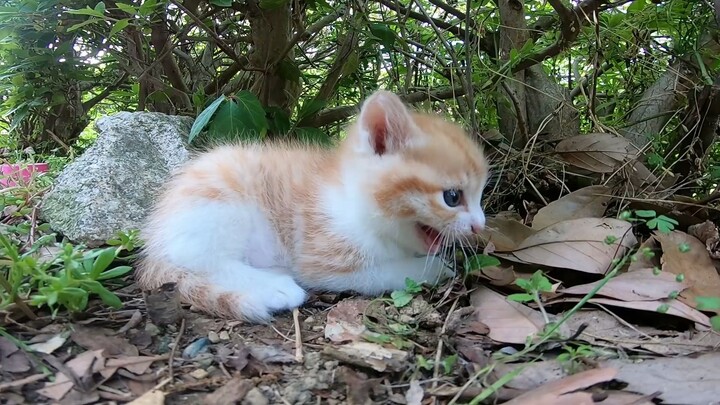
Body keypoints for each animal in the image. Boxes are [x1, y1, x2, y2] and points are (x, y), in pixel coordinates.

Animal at [135, 90, 490, 320]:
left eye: (480, 196)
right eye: (453, 197)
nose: (480, 225)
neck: (353, 203)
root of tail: (155, 239)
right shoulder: (323, 257)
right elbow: (380, 273)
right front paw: (431, 268)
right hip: (218, 204)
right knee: (202, 260)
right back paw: (275, 287)